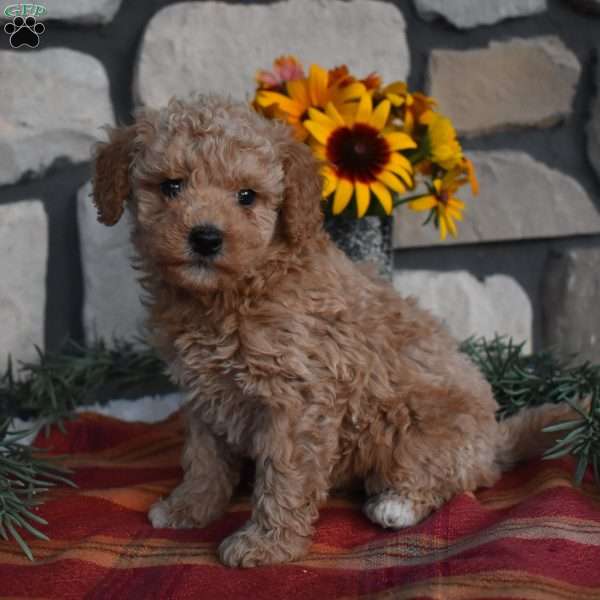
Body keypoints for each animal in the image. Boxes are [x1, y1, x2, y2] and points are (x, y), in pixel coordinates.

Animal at [94, 94, 576, 568]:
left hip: (425, 429)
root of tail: (495, 437)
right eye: (171, 187)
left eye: (247, 197)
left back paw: (397, 504)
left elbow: (284, 478)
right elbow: (204, 460)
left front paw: (267, 545)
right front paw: (189, 508)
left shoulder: (296, 400)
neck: (226, 297)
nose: (206, 238)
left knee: (456, 477)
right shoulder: (203, 394)